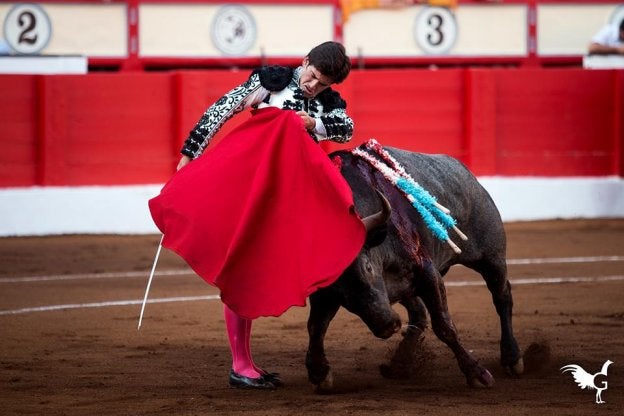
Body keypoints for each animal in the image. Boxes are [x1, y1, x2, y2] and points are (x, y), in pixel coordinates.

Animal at [306, 145, 520, 394]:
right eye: (336, 287)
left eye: (368, 266)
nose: (387, 325)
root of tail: (465, 172)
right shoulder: (324, 296)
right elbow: (316, 326)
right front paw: (319, 372)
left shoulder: (428, 274)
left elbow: (444, 325)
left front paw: (477, 373)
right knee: (418, 313)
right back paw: (399, 363)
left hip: (491, 257)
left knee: (502, 295)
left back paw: (512, 358)